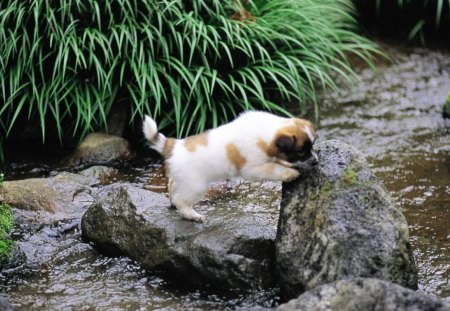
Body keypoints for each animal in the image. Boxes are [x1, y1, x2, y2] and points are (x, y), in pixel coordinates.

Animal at [142, 111, 318, 223]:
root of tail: (172, 145)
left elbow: (278, 161)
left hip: (181, 179)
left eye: (311, 146)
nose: (316, 161)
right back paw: (192, 215)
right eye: (301, 151)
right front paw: (290, 173)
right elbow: (274, 169)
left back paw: (173, 202)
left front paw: (289, 165)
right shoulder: (253, 168)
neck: (266, 133)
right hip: (196, 185)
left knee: (172, 187)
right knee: (182, 201)